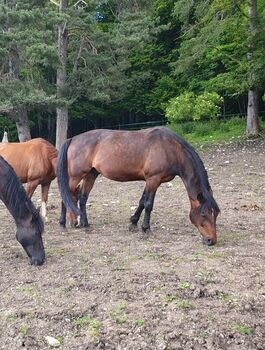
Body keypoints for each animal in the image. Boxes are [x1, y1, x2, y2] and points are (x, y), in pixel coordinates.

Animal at [56, 127, 219, 245]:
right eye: (204, 215)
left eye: (215, 214)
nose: (211, 240)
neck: (169, 148)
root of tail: (72, 139)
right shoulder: (153, 179)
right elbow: (148, 204)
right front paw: (146, 228)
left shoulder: (151, 181)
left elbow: (141, 202)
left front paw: (133, 223)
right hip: (76, 176)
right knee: (65, 196)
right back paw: (63, 224)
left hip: (91, 174)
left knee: (83, 198)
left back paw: (85, 224)